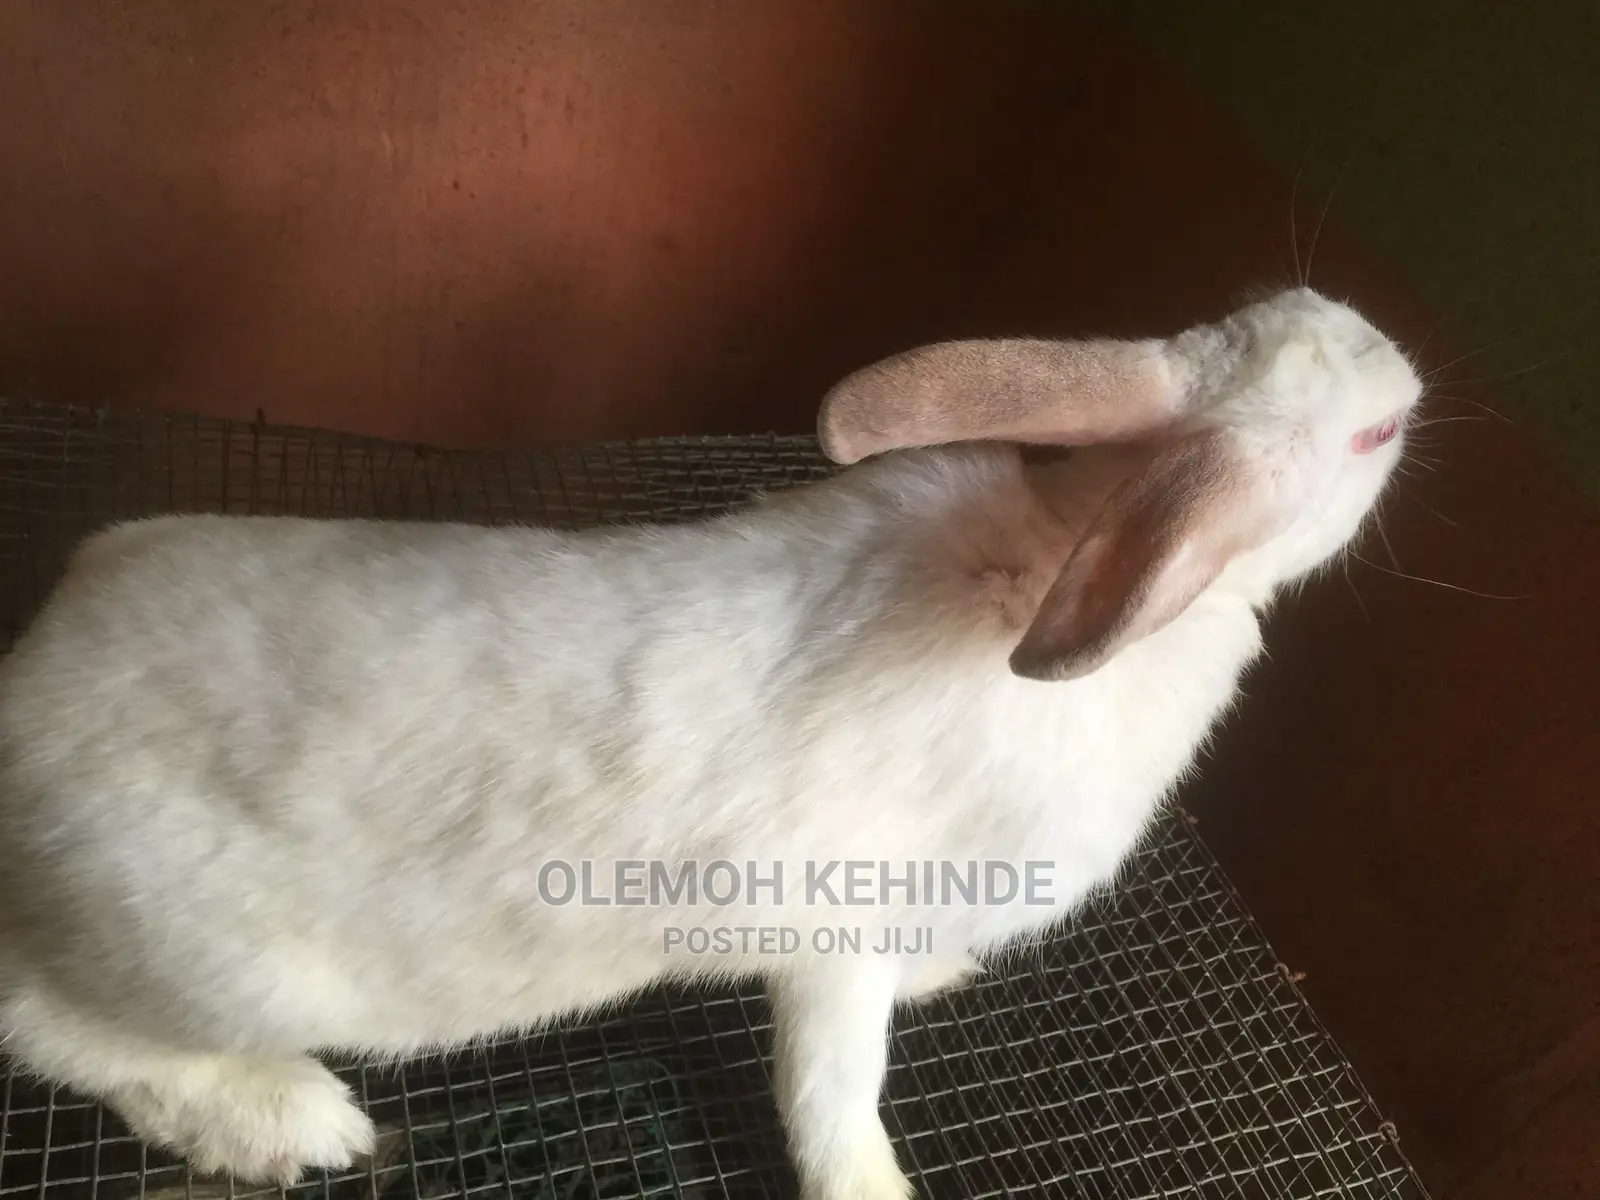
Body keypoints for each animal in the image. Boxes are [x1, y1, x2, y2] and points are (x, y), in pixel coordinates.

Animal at [0, 285, 1420, 1200]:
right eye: (1373, 436)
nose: (1411, 374)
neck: (1063, 543)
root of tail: (22, 701)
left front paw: (945, 975)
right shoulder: (836, 938)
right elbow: (836, 1098)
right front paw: (879, 1175)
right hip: (216, 972)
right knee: (47, 1021)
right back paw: (285, 1121)